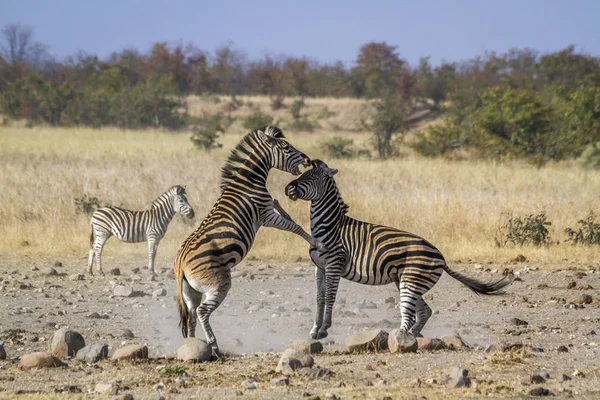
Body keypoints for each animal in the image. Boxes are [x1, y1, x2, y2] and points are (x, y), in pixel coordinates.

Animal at [173, 125, 324, 356]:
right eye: (286, 148)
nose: (308, 159)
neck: (250, 181)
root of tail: (181, 261)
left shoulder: (269, 211)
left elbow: (287, 215)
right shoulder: (265, 216)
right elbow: (294, 226)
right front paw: (316, 242)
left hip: (191, 291)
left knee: (191, 315)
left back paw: (193, 345)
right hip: (218, 283)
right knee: (202, 311)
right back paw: (213, 345)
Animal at [284, 159, 510, 340]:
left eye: (311, 176)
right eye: (303, 174)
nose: (288, 188)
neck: (330, 226)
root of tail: (441, 256)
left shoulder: (334, 264)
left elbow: (330, 297)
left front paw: (323, 330)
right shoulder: (319, 267)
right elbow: (320, 298)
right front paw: (314, 330)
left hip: (410, 282)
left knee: (409, 315)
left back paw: (399, 338)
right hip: (408, 282)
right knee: (425, 311)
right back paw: (412, 336)